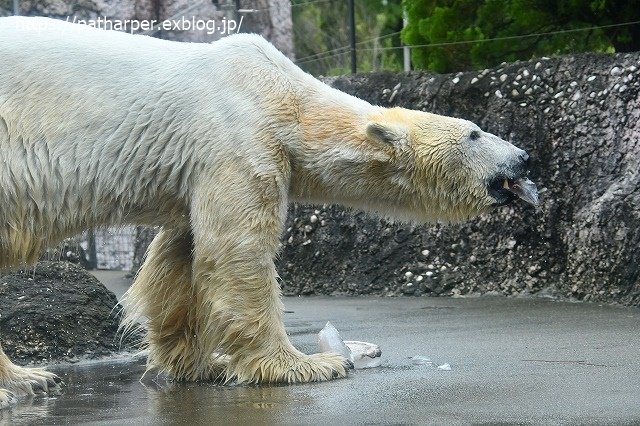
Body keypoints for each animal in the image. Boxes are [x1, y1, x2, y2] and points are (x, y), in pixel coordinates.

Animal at [0, 16, 540, 408]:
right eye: (474, 132)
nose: (524, 158)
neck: (287, 99)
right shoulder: (237, 137)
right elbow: (237, 251)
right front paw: (309, 365)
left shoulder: (202, 165)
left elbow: (182, 256)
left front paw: (199, 363)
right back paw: (23, 381)